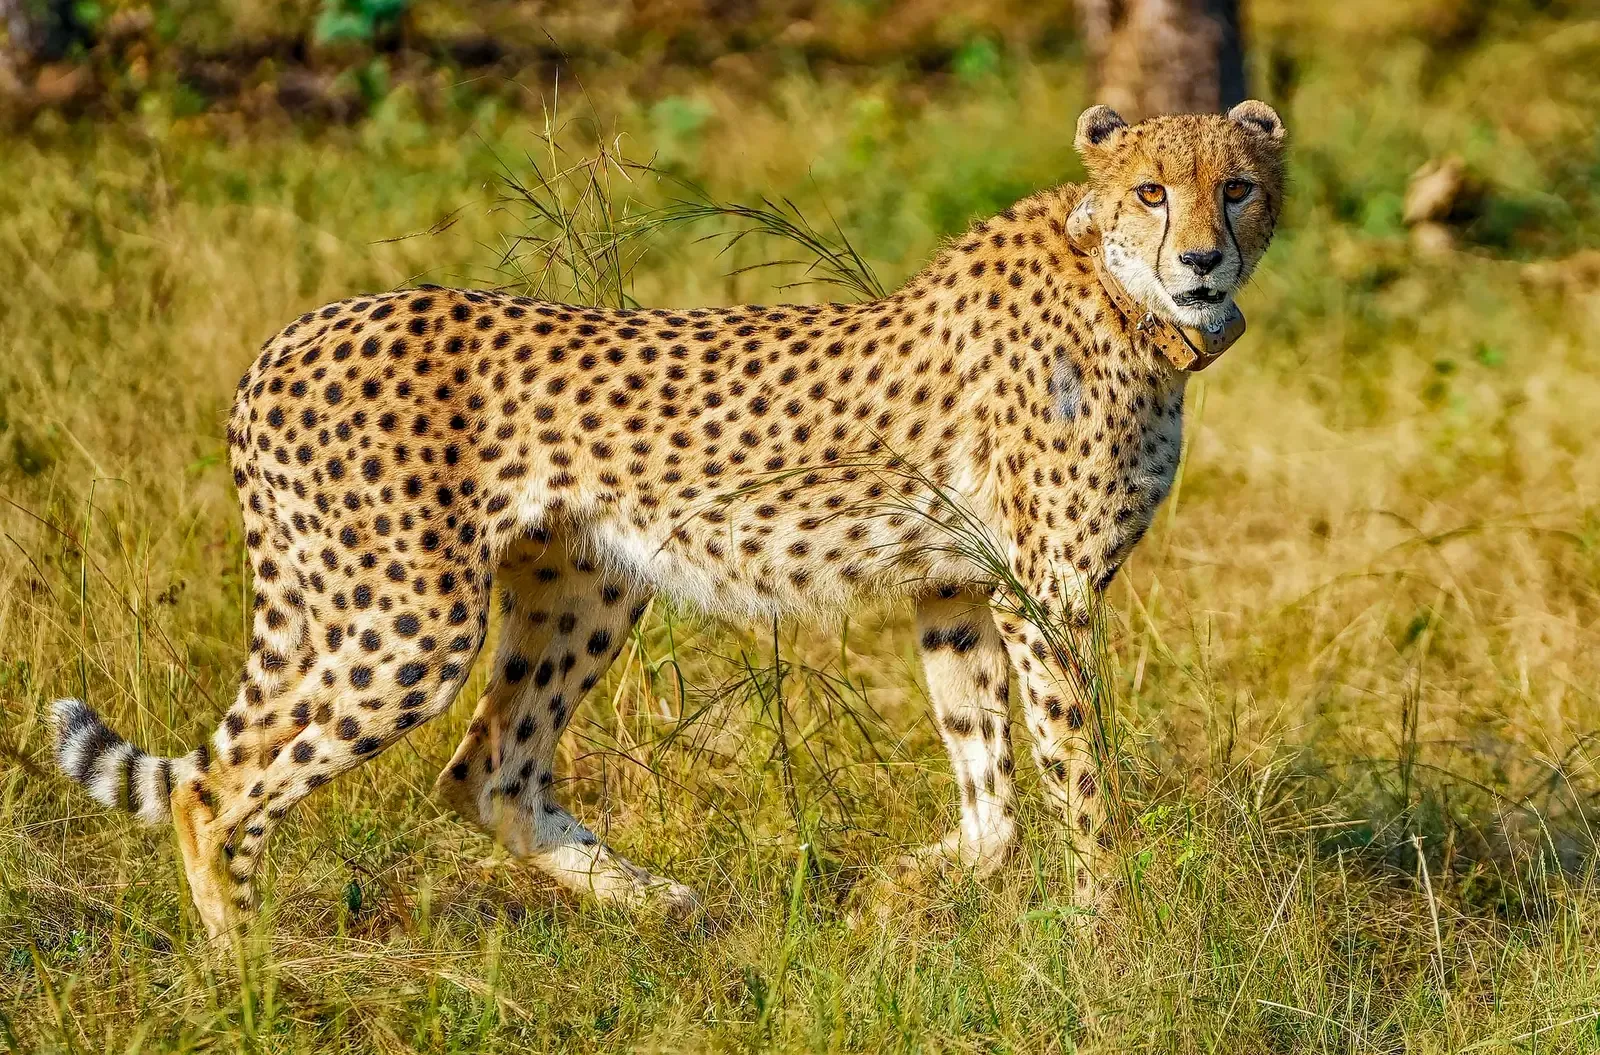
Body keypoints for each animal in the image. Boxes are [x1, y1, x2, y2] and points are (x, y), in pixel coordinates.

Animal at [52, 100, 1287, 938]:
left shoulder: (956, 586)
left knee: (487, 768)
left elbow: (993, 799)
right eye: (1152, 191)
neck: (1125, 297)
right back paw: (249, 967)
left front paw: (895, 892)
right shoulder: (1046, 595)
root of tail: (293, 332)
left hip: (585, 583)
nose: (1201, 257)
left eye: (1236, 187)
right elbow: (1081, 778)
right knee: (219, 788)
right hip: (408, 618)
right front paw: (1111, 934)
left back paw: (659, 900)